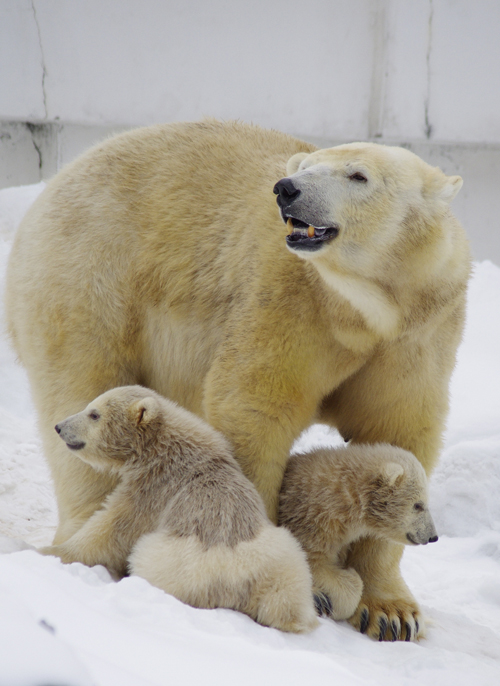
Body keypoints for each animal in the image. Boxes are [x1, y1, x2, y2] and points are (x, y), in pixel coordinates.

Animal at [43, 388, 316, 636]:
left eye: (94, 414)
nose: (59, 427)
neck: (166, 446)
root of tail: (240, 577)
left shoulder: (155, 489)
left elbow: (112, 527)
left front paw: (50, 551)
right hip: (284, 561)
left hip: (180, 562)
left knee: (146, 557)